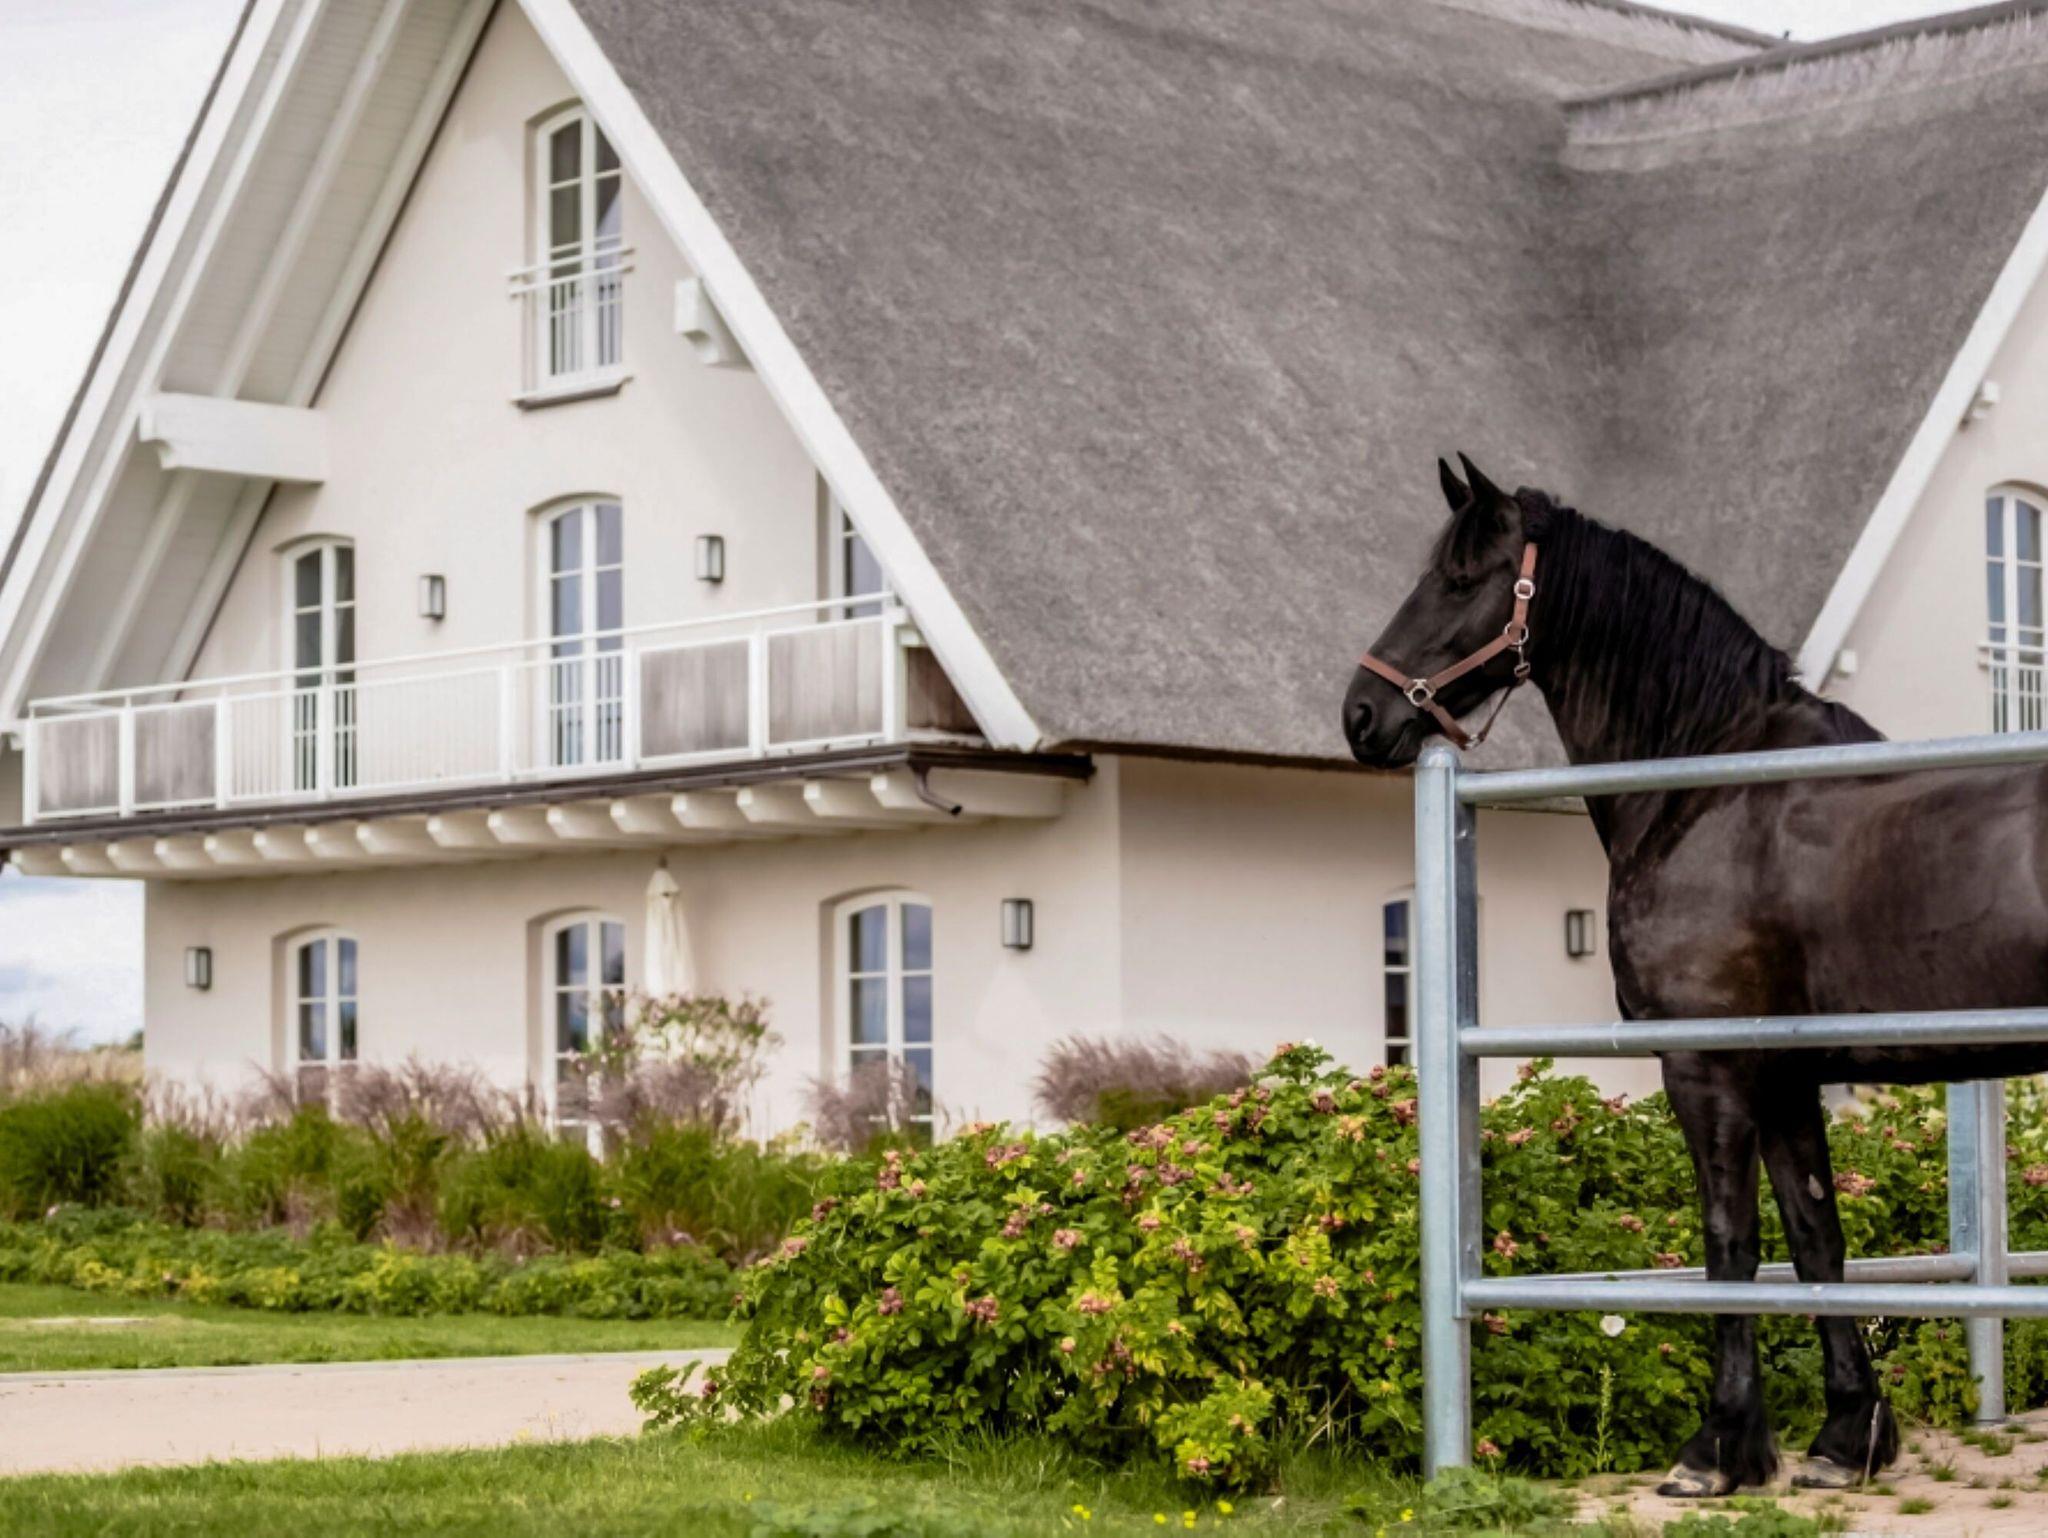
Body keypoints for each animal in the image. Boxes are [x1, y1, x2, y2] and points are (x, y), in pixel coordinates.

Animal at [1341, 455, 2048, 1497]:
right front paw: (1847, 1438)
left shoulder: (1707, 1067)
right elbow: (1816, 1239)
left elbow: (1730, 1243)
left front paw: (1716, 1450)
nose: (1362, 713)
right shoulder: (1788, 1075)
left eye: (1462, 579)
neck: (1710, 782)